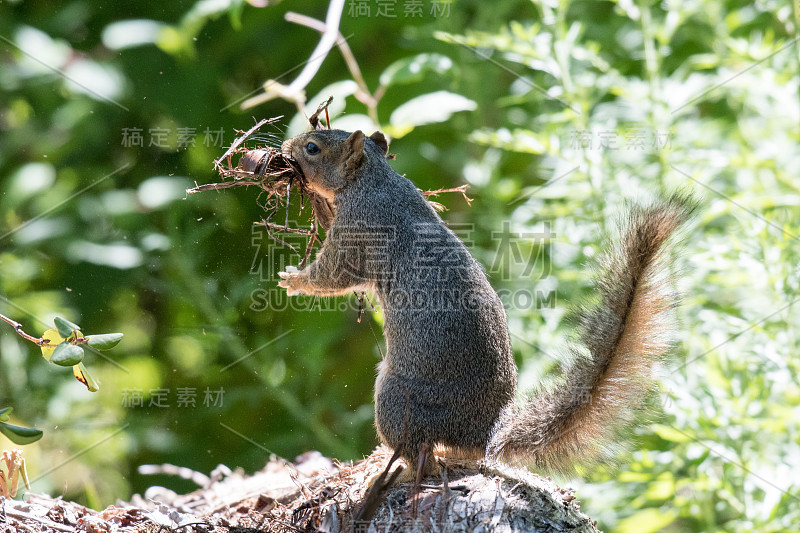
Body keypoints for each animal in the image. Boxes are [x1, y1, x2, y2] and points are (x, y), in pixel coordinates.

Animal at [278, 128, 692, 478]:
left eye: (312, 147)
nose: (285, 147)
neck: (374, 179)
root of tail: (486, 430)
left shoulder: (359, 231)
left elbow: (335, 275)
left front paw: (293, 280)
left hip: (398, 400)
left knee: (419, 453)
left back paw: (400, 471)